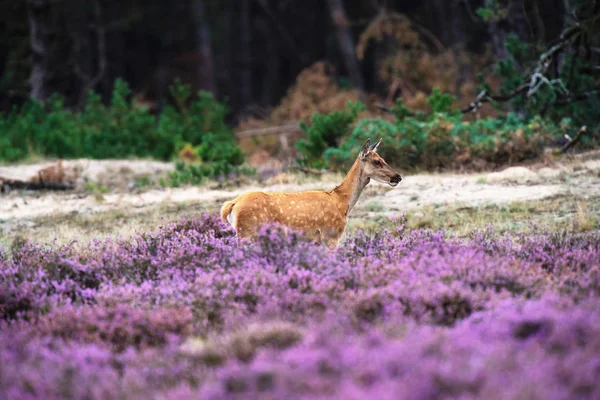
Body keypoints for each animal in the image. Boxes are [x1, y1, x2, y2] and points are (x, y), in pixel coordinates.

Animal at [220, 139, 404, 248]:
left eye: (383, 158)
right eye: (377, 161)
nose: (397, 177)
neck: (342, 202)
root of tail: (232, 205)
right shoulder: (330, 235)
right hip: (248, 233)